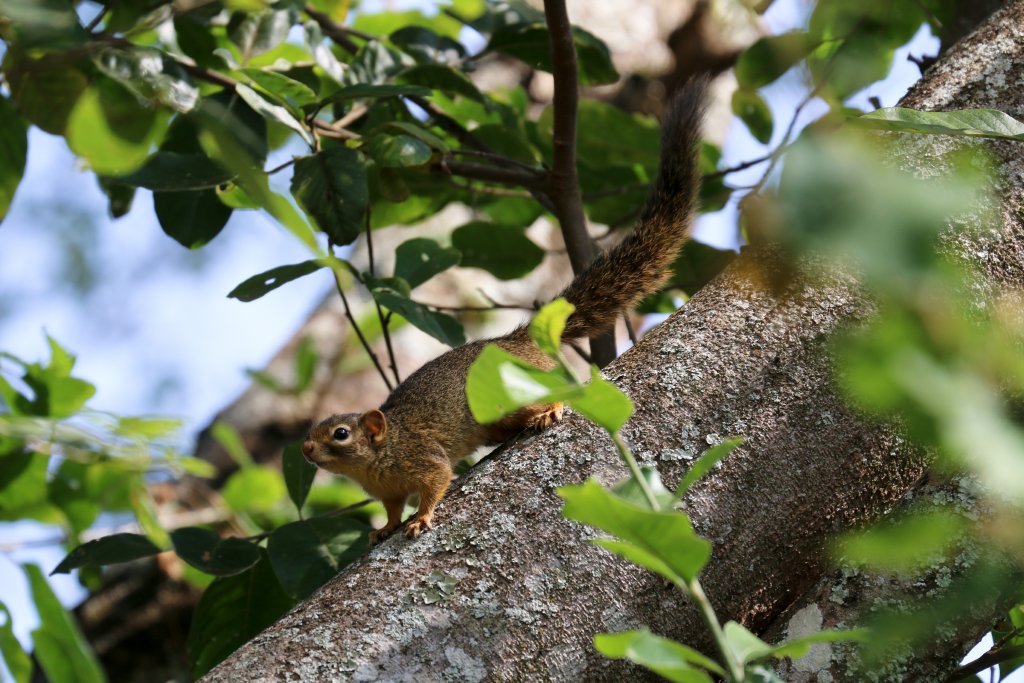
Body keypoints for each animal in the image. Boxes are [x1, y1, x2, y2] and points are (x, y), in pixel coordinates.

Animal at [302, 79, 707, 544]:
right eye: (314, 429)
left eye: (341, 434)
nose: (305, 449)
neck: (378, 458)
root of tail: (520, 338)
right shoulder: (387, 491)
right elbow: (389, 510)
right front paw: (383, 530)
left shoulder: (423, 459)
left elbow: (435, 483)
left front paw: (421, 518)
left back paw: (550, 409)